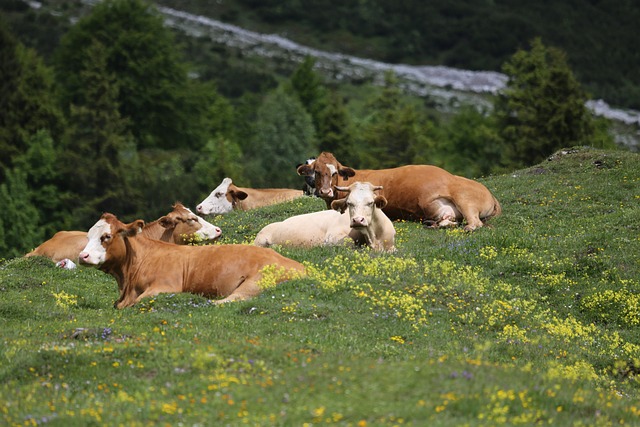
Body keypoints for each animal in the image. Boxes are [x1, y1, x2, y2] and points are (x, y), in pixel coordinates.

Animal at [77, 213, 308, 308]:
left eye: (106, 236)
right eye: (88, 235)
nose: (82, 256)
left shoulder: (166, 286)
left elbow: (137, 302)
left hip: (255, 282)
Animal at [298, 150, 502, 231]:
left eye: (334, 172)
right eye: (317, 171)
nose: (325, 192)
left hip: (464, 199)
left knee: (474, 223)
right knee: (447, 220)